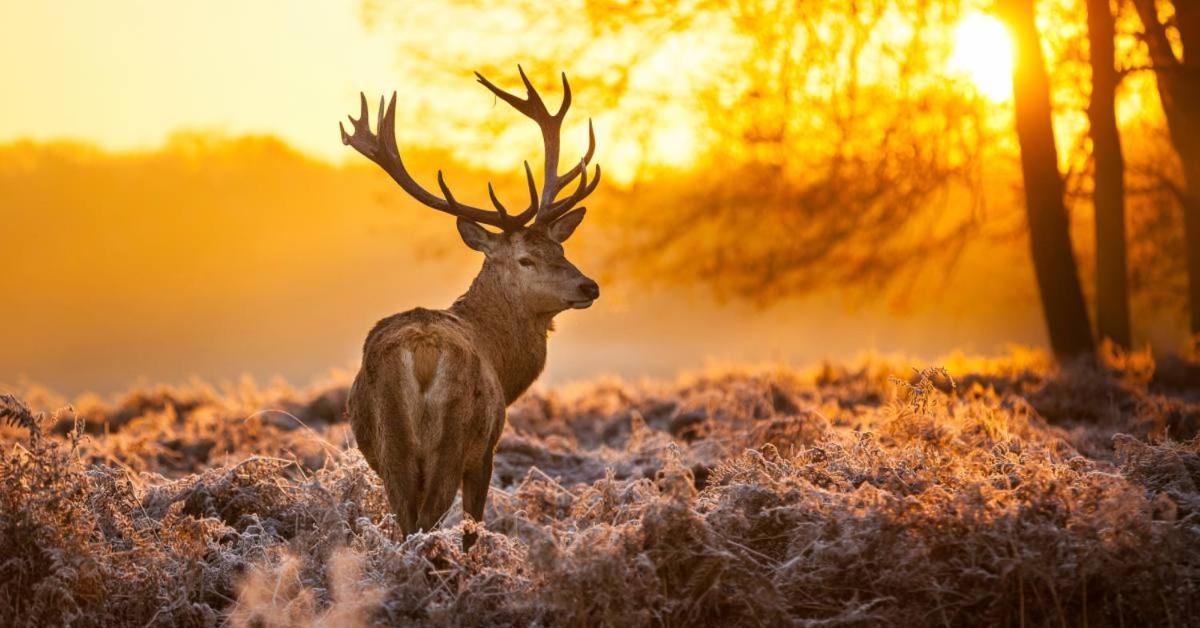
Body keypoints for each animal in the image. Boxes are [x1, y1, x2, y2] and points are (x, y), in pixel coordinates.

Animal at [338, 68, 600, 549]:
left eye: (560, 248)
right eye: (525, 259)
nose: (589, 285)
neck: (503, 361)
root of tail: (422, 353)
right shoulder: (487, 449)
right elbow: (473, 527)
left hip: (390, 445)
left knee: (407, 521)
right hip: (454, 437)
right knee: (428, 520)